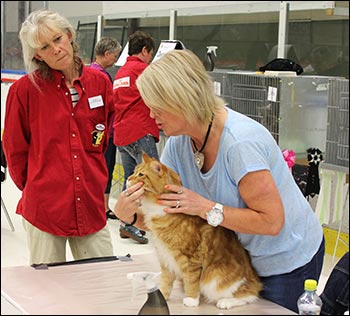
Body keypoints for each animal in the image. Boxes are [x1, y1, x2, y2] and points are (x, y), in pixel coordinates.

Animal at [127, 152, 262, 308]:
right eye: (134, 172)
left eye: (141, 174)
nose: (128, 178)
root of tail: (255, 278)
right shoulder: (165, 258)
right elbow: (165, 282)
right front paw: (162, 298)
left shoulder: (191, 260)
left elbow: (191, 282)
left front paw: (191, 299)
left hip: (218, 280)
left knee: (249, 295)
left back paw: (226, 301)